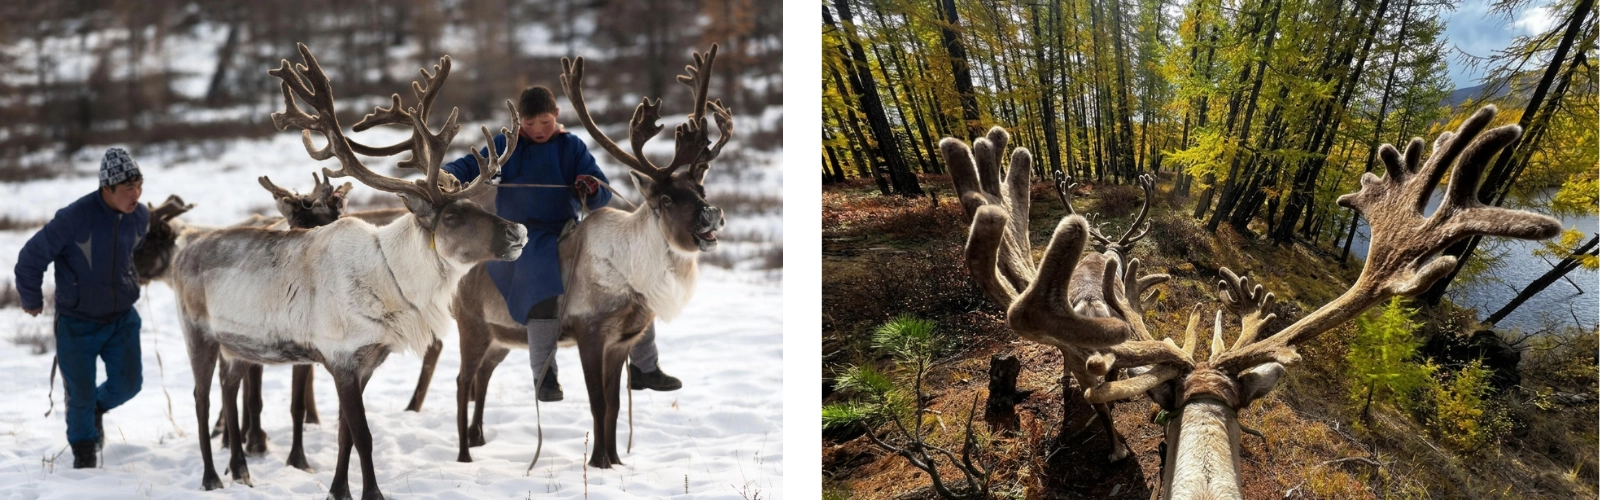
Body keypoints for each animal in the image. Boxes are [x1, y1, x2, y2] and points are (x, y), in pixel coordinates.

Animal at [170, 43, 527, 499]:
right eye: (452, 217)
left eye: (477, 204)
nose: (518, 231)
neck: (394, 281)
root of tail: (184, 249)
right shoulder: (341, 359)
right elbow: (363, 436)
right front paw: (371, 493)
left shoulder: (369, 361)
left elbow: (344, 435)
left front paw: (337, 490)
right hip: (198, 334)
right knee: (200, 398)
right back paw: (212, 477)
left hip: (238, 347)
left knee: (227, 389)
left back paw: (241, 471)